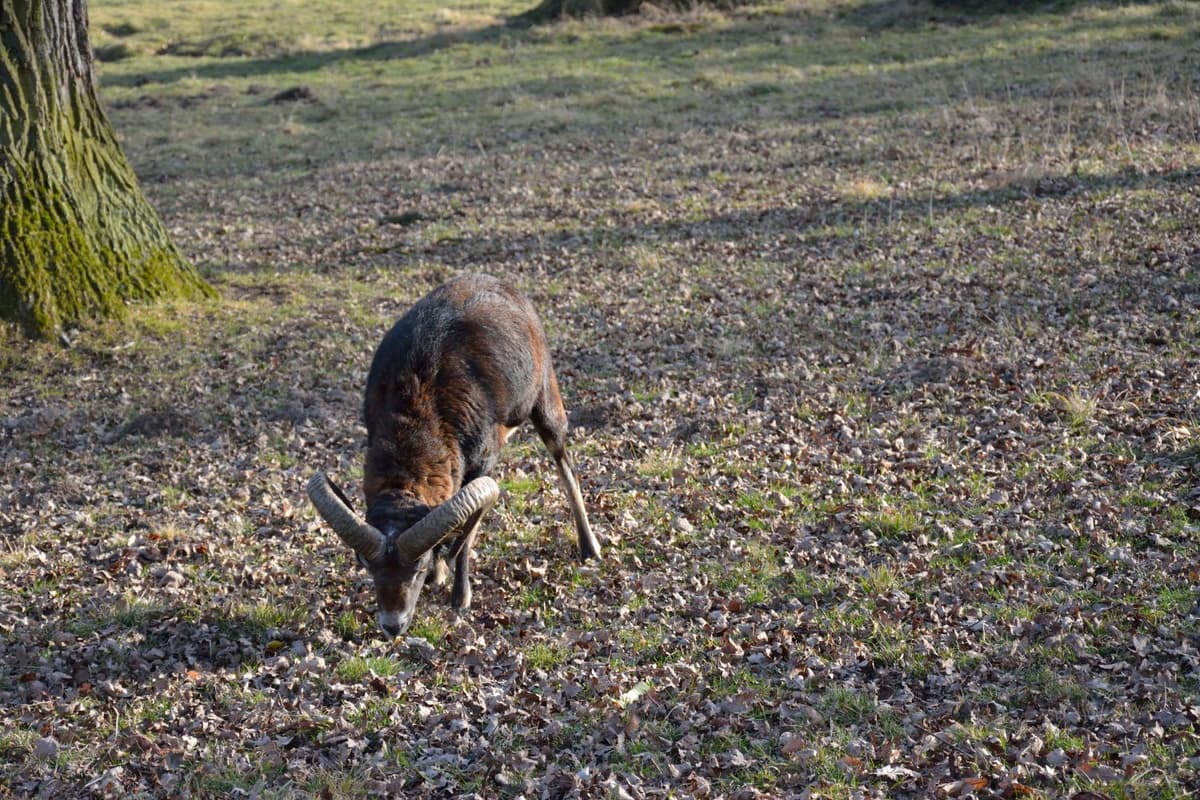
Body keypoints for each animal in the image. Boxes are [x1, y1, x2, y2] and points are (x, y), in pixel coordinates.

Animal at [307, 273, 601, 637]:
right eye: (368, 565)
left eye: (417, 567)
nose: (393, 625)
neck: (420, 406)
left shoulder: (481, 465)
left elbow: (466, 537)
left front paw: (459, 597)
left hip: (546, 406)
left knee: (565, 466)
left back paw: (590, 549)